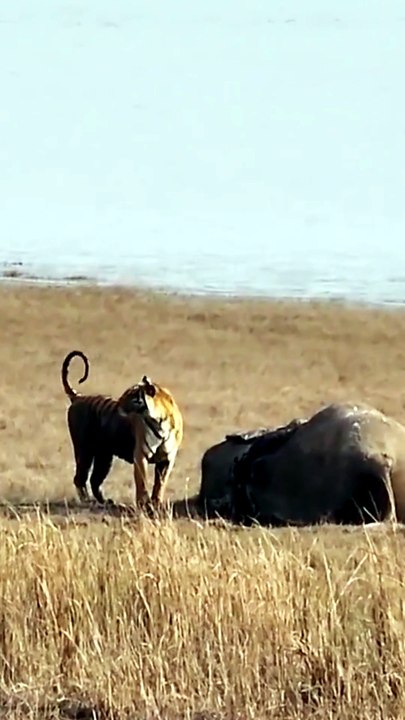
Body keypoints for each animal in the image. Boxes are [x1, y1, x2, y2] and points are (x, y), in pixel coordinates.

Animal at [61, 350, 183, 507]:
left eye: (131, 396)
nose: (118, 404)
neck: (160, 421)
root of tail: (78, 397)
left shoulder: (167, 459)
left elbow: (160, 484)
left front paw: (156, 503)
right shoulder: (140, 455)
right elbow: (142, 482)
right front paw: (143, 503)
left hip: (103, 456)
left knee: (94, 480)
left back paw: (105, 502)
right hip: (85, 450)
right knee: (80, 478)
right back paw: (88, 501)